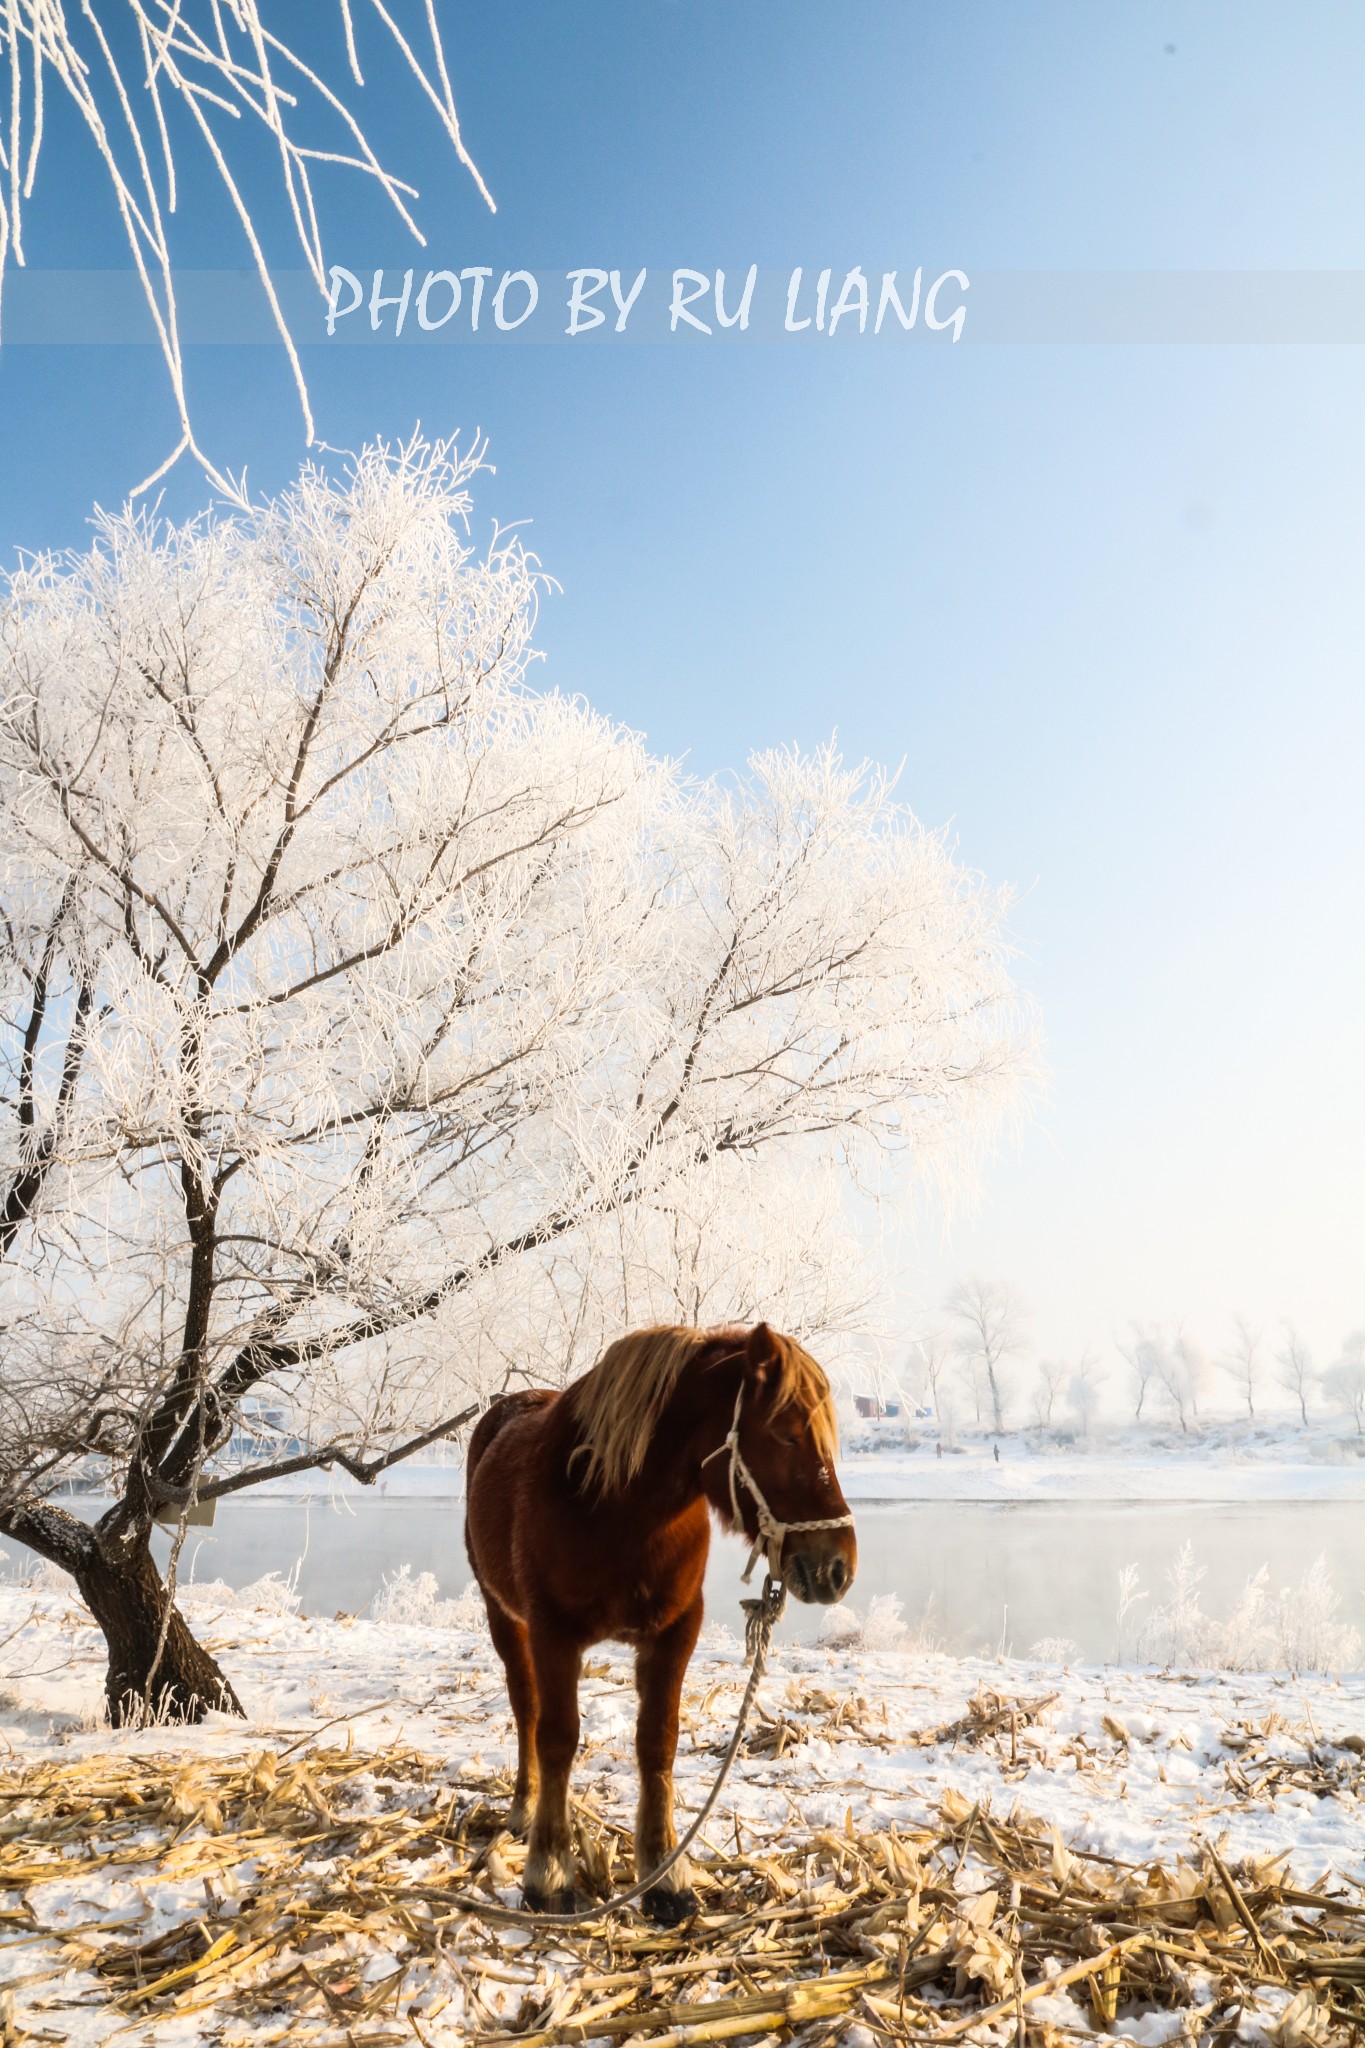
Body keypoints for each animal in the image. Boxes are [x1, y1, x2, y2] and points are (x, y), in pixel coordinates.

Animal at [464, 1327, 859, 1916]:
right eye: (787, 1435)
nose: (839, 1567)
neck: (617, 1509)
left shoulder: (675, 1633)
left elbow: (658, 1742)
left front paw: (664, 1877)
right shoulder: (552, 1634)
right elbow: (557, 1738)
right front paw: (549, 1873)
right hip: (505, 1620)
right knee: (526, 1710)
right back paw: (523, 1810)